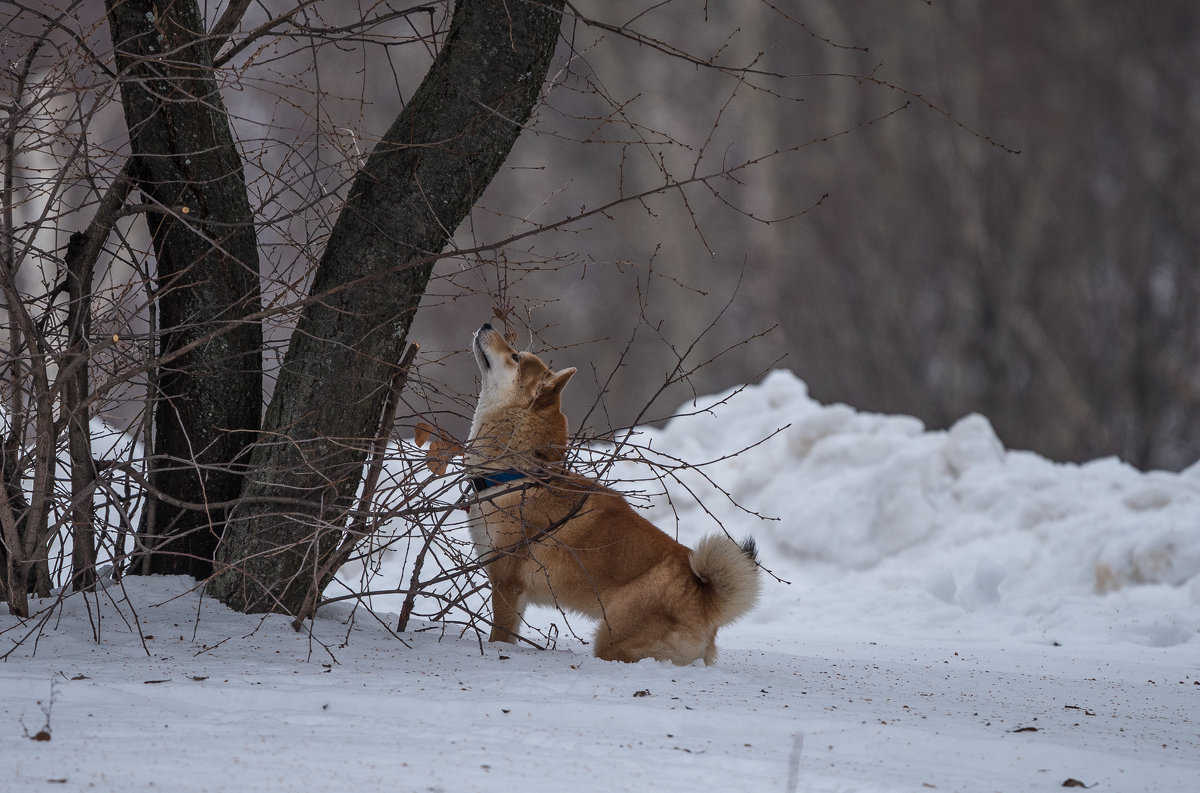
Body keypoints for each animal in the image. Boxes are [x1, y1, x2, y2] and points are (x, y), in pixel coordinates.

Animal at [460, 321, 758, 662]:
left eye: (515, 356)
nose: (487, 324)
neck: (518, 475)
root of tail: (705, 601)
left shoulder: (506, 583)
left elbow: (500, 635)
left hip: (612, 641)